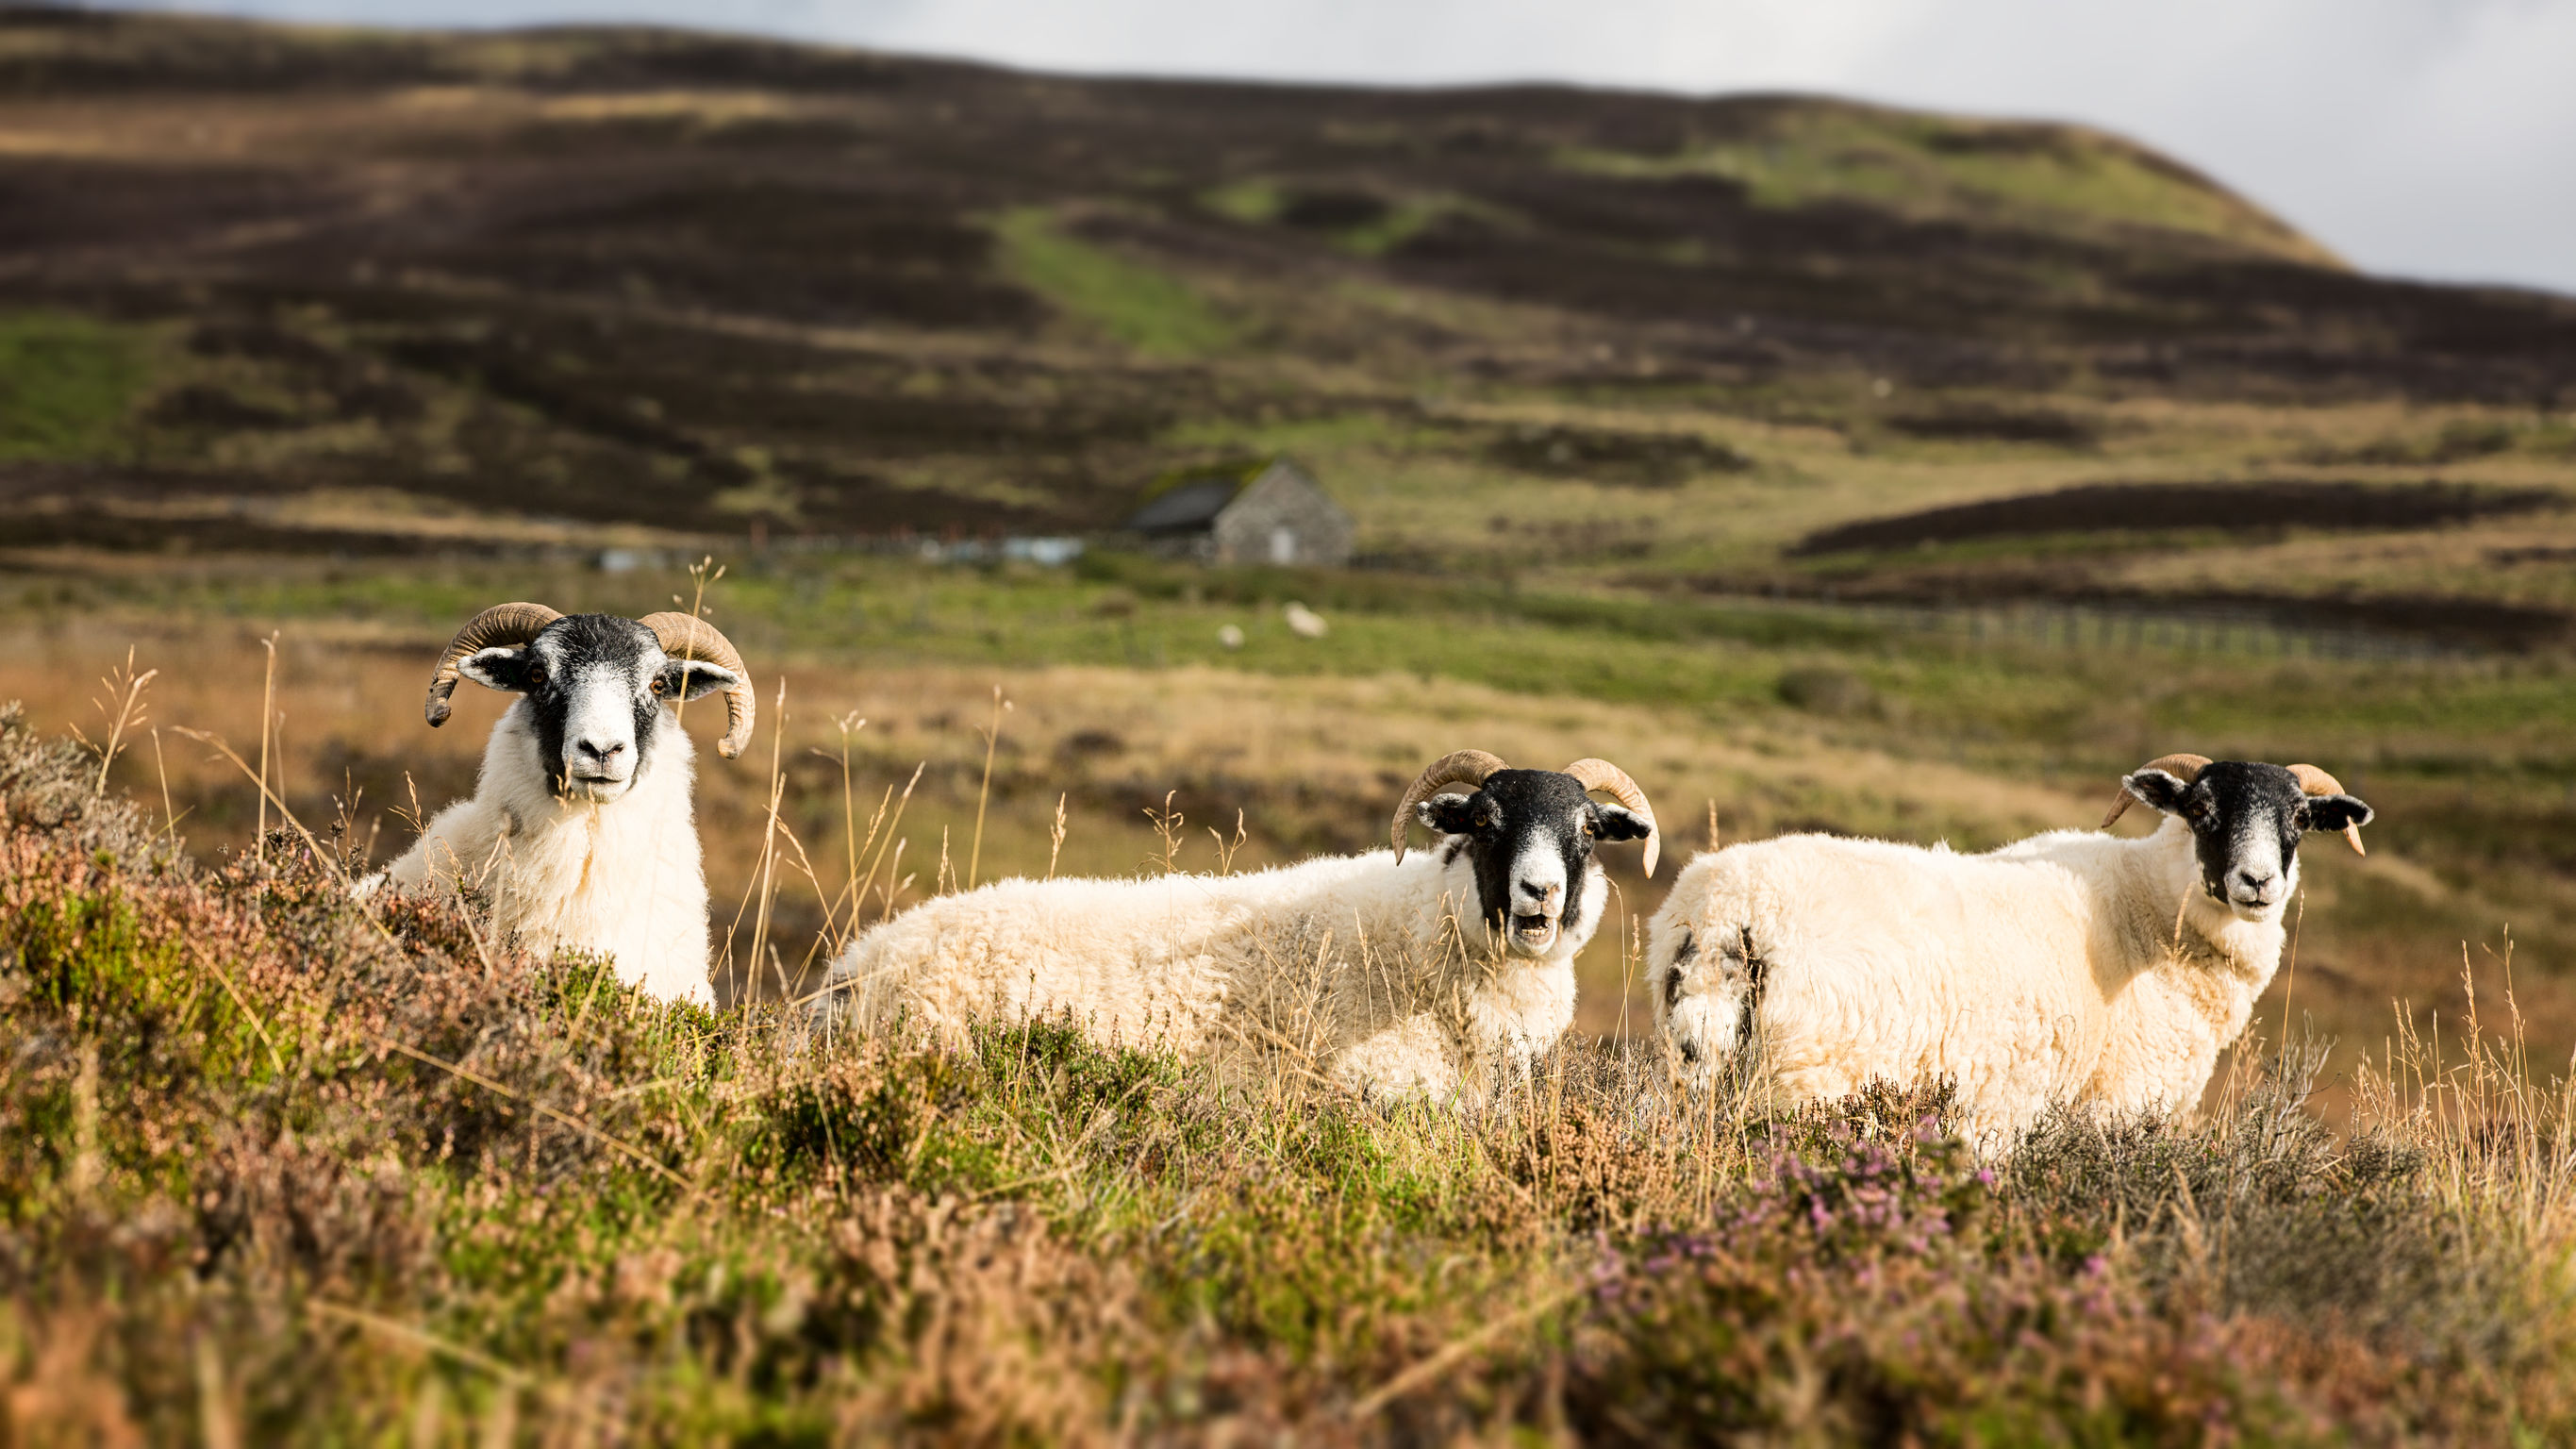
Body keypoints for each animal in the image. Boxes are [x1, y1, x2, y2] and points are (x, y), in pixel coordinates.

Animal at [1648, 758, 2369, 1140]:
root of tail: (1728, 910)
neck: (2150, 908)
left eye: (2298, 819)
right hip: (1809, 1085)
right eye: (2200, 812)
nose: (2257, 882)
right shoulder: (2111, 1105)